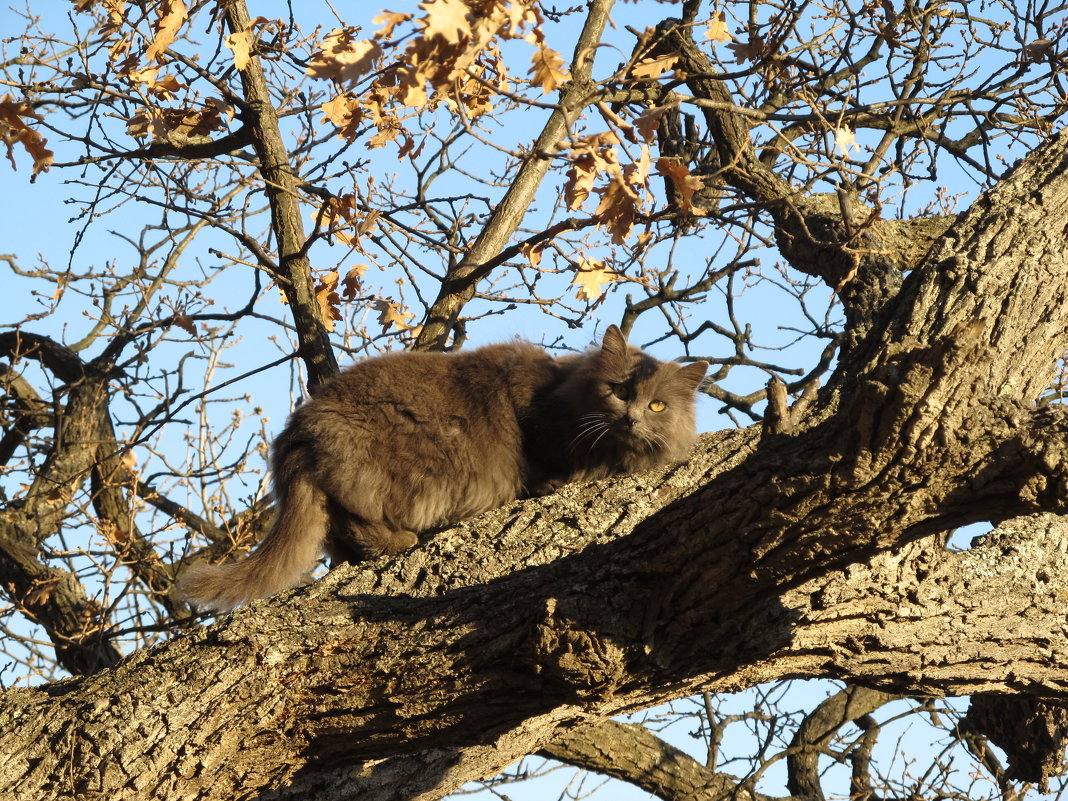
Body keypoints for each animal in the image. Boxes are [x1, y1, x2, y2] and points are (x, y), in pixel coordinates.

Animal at [177, 324, 709, 606]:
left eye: (657, 405)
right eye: (618, 390)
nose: (632, 417)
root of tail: (298, 430)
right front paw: (564, 478)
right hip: (398, 472)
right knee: (356, 521)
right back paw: (401, 540)